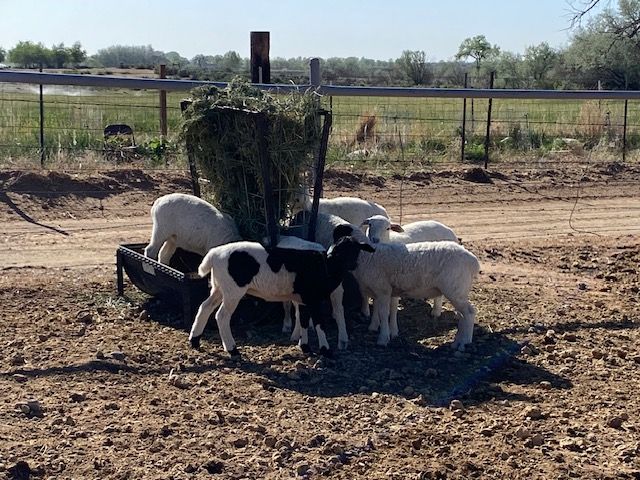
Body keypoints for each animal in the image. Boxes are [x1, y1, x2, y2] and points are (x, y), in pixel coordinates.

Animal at [189, 237, 375, 356]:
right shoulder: (313, 299)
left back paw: (195, 340)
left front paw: (306, 347)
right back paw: (232, 349)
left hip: (219, 287)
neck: (326, 266)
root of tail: (213, 254)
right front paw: (326, 350)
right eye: (341, 252)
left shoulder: (303, 300)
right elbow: (319, 323)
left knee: (205, 307)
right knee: (222, 316)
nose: (353, 265)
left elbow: (304, 321)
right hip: (233, 289)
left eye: (357, 250)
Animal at [347, 240, 480, 350]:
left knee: (469, 313)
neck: (366, 258)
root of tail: (472, 260)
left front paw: (383, 338)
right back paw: (457, 342)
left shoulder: (383, 289)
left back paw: (464, 342)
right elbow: (378, 309)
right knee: (463, 315)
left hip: (455, 289)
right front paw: (374, 327)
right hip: (459, 291)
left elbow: (383, 313)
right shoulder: (378, 290)